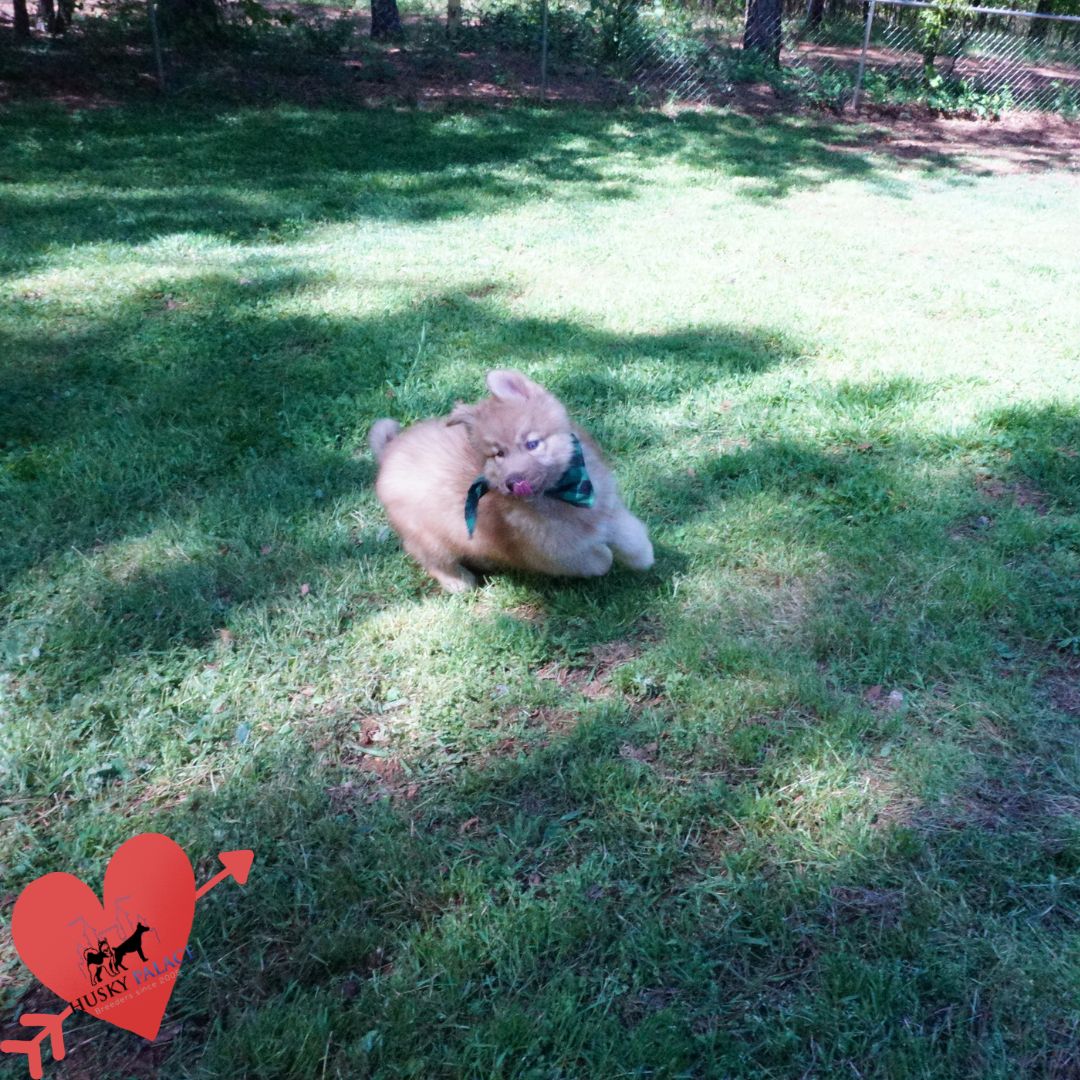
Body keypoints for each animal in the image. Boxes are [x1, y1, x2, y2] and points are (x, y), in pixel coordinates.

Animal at [370, 370, 654, 592]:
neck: (563, 492)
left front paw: (644, 556)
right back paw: (459, 582)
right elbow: (601, 559)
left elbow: (633, 536)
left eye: (532, 444)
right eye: (498, 454)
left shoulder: (607, 509)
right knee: (429, 557)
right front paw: (606, 553)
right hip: (428, 537)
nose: (512, 481)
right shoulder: (553, 554)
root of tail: (389, 450)